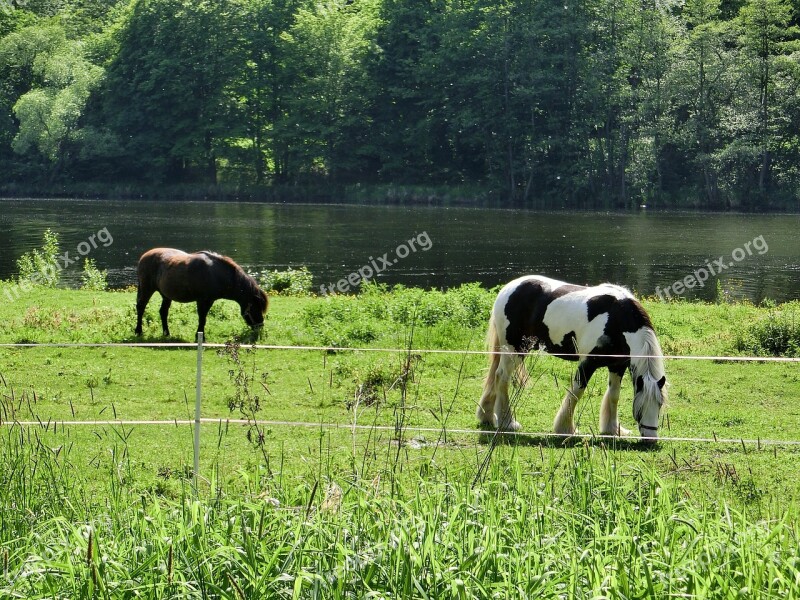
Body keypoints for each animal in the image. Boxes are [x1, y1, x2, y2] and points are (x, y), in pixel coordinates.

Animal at [133, 246, 268, 336]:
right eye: (255, 308)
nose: (260, 326)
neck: (216, 274)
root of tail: (144, 256)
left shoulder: (209, 301)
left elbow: (203, 318)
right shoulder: (203, 301)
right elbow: (202, 318)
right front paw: (200, 336)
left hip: (166, 295)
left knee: (163, 312)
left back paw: (167, 333)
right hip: (147, 289)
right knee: (141, 307)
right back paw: (139, 331)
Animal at [478, 276, 664, 440]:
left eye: (660, 404)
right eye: (640, 408)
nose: (651, 439)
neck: (616, 318)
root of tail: (508, 289)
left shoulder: (617, 366)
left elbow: (614, 395)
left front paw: (612, 429)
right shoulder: (588, 363)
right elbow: (577, 392)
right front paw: (565, 428)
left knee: (495, 376)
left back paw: (487, 415)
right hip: (515, 350)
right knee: (502, 377)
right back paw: (508, 422)